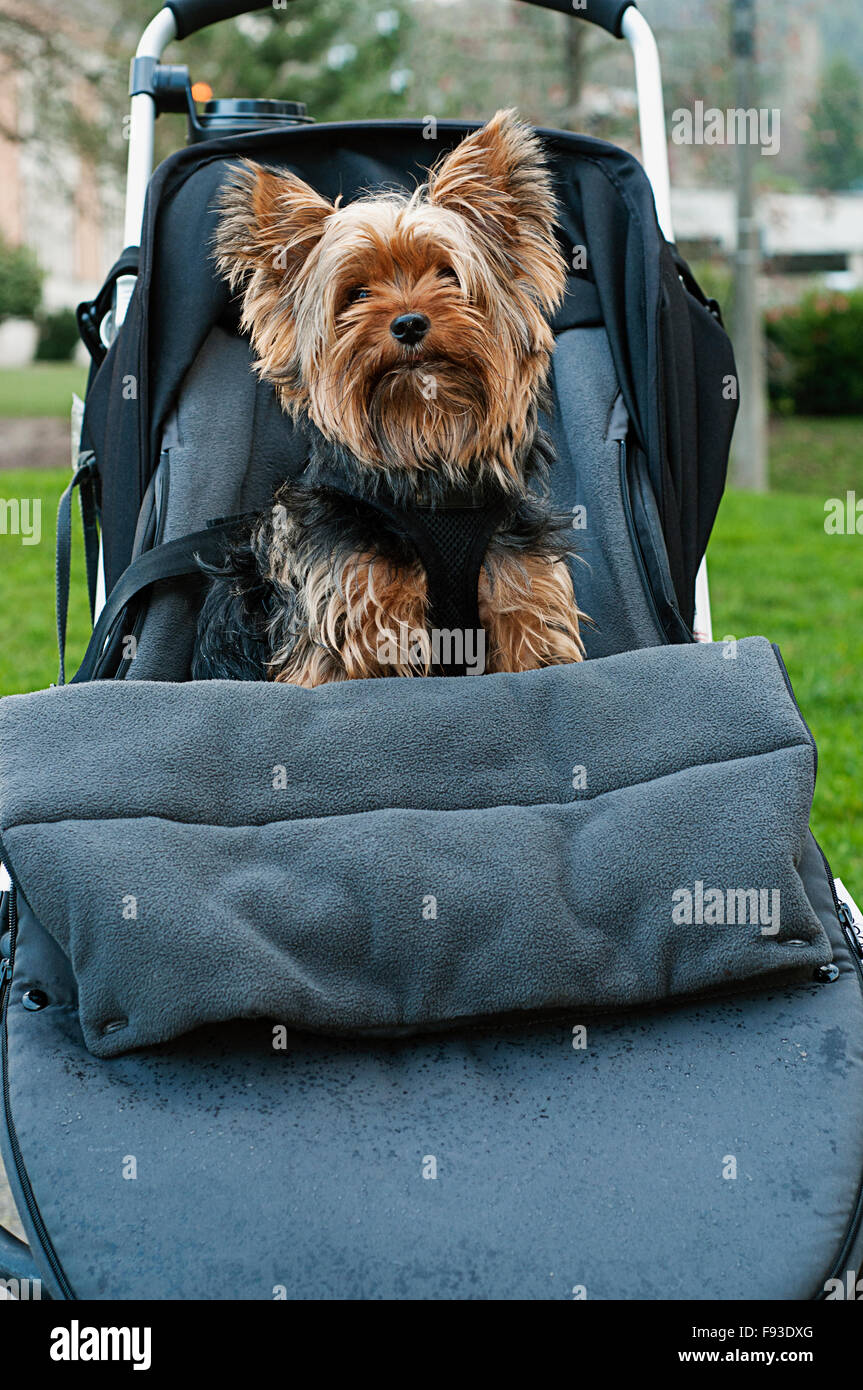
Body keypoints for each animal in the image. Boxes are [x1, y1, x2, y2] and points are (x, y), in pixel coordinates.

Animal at [193, 108, 586, 683]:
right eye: (356, 294)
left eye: (448, 275)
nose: (409, 323)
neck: (427, 450)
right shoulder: (352, 611)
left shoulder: (521, 592)